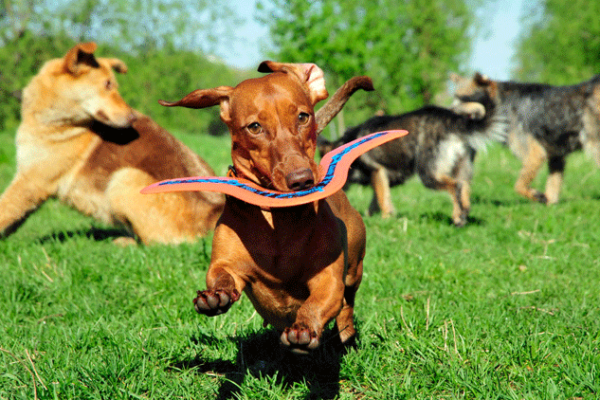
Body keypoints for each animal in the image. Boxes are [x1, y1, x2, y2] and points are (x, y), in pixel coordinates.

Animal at [0, 43, 224, 244]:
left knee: (157, 243)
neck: (59, 121)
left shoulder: (31, 182)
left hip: (124, 177)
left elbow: (4, 211)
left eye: (113, 85)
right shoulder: (28, 182)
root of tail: (215, 214)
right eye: (107, 84)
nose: (133, 117)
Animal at [318, 101, 506, 227]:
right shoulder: (382, 177)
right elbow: (378, 199)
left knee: (455, 187)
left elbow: (381, 198)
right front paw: (372, 216)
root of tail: (453, 120)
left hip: (428, 173)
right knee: (464, 189)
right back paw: (463, 214)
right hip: (462, 168)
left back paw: (457, 217)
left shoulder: (376, 171)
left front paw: (385, 218)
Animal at [452, 71, 600, 203]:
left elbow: (519, 185)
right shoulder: (556, 158)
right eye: (455, 97)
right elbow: (552, 188)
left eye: (464, 99)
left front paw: (535, 195)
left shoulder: (535, 154)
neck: (503, 103)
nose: (448, 113)